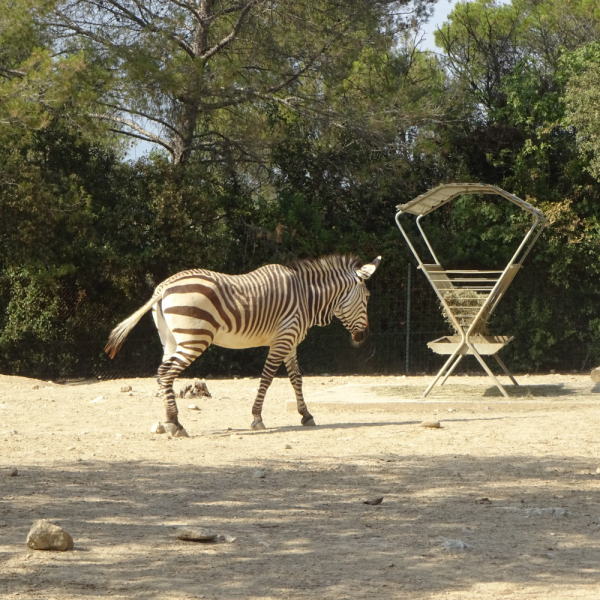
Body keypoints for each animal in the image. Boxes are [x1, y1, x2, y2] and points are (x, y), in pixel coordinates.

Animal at [104, 254, 380, 436]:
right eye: (367, 298)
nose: (365, 335)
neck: (306, 296)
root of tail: (163, 287)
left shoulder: (290, 342)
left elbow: (296, 380)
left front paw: (306, 415)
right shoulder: (282, 339)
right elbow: (267, 378)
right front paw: (257, 418)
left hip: (171, 340)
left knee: (164, 375)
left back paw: (168, 421)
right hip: (195, 338)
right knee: (166, 372)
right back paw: (175, 424)